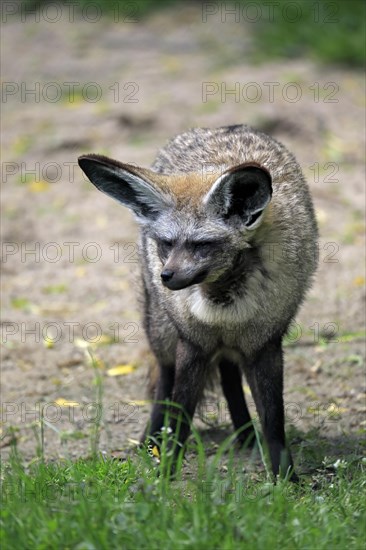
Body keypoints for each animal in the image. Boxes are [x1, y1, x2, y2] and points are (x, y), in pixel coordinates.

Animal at [78, 125, 318, 484]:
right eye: (166, 244)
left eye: (202, 245)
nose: (166, 276)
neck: (224, 306)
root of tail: (218, 128)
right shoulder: (193, 344)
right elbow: (180, 417)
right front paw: (165, 473)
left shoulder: (265, 345)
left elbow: (274, 421)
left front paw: (286, 480)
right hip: (162, 332)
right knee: (165, 379)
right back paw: (152, 439)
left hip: (228, 347)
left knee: (230, 376)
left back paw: (245, 434)